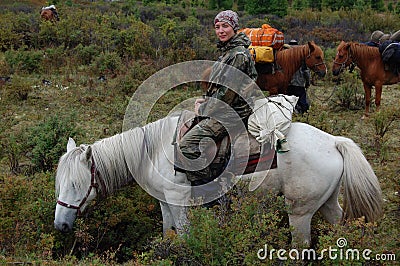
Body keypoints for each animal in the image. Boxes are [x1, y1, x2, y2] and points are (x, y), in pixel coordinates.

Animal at [54, 114, 382, 245]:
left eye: (75, 185)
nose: (60, 226)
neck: (154, 151)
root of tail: (335, 142)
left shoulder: (180, 203)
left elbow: (184, 235)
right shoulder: (164, 203)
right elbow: (167, 231)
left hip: (299, 212)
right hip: (326, 203)